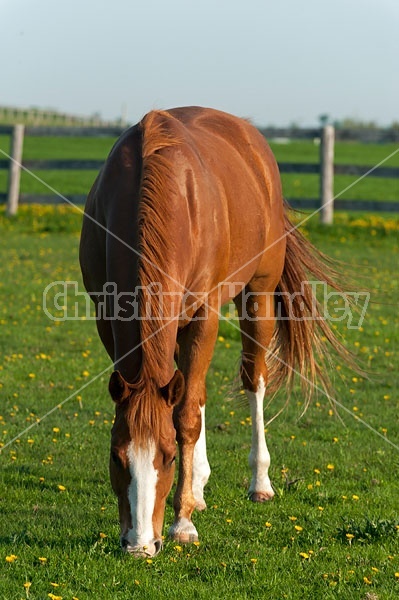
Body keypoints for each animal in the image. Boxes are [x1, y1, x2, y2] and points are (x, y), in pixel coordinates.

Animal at [80, 105, 346, 556]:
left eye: (168, 457)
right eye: (117, 456)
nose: (139, 545)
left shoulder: (204, 315)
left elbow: (185, 417)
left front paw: (182, 524)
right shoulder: (107, 315)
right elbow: (184, 402)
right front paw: (188, 501)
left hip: (257, 295)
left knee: (252, 379)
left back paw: (259, 483)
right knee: (193, 389)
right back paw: (200, 487)